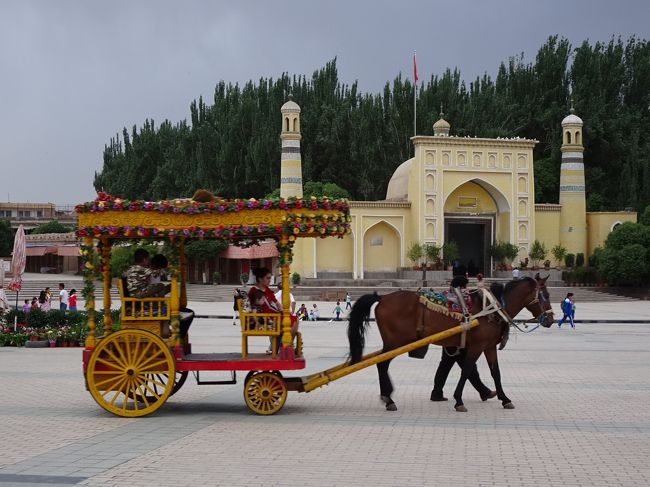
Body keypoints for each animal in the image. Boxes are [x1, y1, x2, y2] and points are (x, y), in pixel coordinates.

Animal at [346, 274, 556, 412]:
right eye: (545, 294)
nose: (550, 319)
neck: (492, 308)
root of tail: (382, 297)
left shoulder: (489, 346)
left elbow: (495, 373)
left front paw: (504, 398)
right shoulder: (477, 346)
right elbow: (467, 370)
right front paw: (459, 401)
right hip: (395, 342)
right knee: (382, 364)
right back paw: (389, 399)